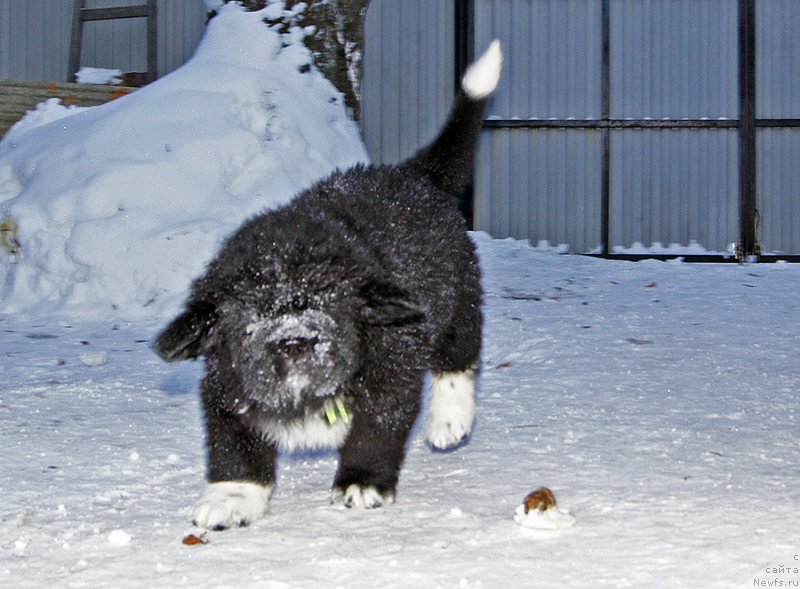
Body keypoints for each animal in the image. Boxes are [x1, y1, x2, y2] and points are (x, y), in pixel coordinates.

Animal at [155, 41, 500, 528]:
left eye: (329, 302)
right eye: (250, 317)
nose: (295, 342)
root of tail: (413, 176)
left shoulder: (392, 370)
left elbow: (375, 431)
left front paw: (362, 481)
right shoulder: (225, 382)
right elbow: (234, 444)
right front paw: (232, 495)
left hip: (459, 296)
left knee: (460, 353)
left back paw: (449, 420)